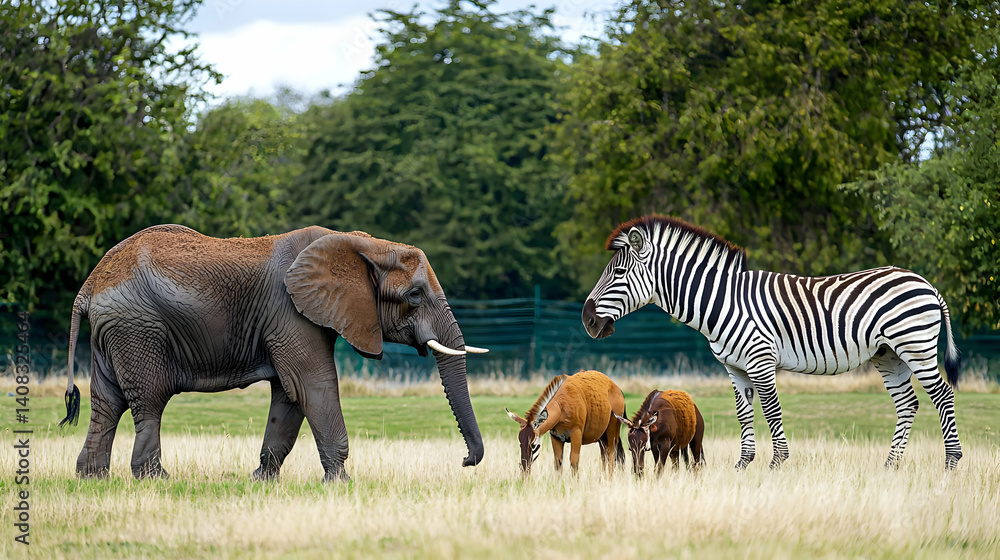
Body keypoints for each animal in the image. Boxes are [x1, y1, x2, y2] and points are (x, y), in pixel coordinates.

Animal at [59, 224, 487, 481]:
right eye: (414, 295)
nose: (465, 462)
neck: (360, 243)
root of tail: (91, 283)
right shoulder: (290, 313)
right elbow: (313, 386)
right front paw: (342, 484)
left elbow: (290, 396)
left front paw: (261, 481)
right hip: (138, 330)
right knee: (149, 401)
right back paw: (155, 479)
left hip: (112, 332)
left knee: (107, 402)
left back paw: (92, 478)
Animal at [581, 215, 962, 470]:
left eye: (618, 273)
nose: (587, 320)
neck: (723, 301)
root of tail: (926, 283)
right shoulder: (734, 368)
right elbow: (744, 413)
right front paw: (743, 466)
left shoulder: (760, 359)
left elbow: (771, 410)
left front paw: (776, 464)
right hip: (888, 355)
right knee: (908, 404)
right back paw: (890, 466)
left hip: (915, 346)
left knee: (943, 396)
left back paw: (951, 464)